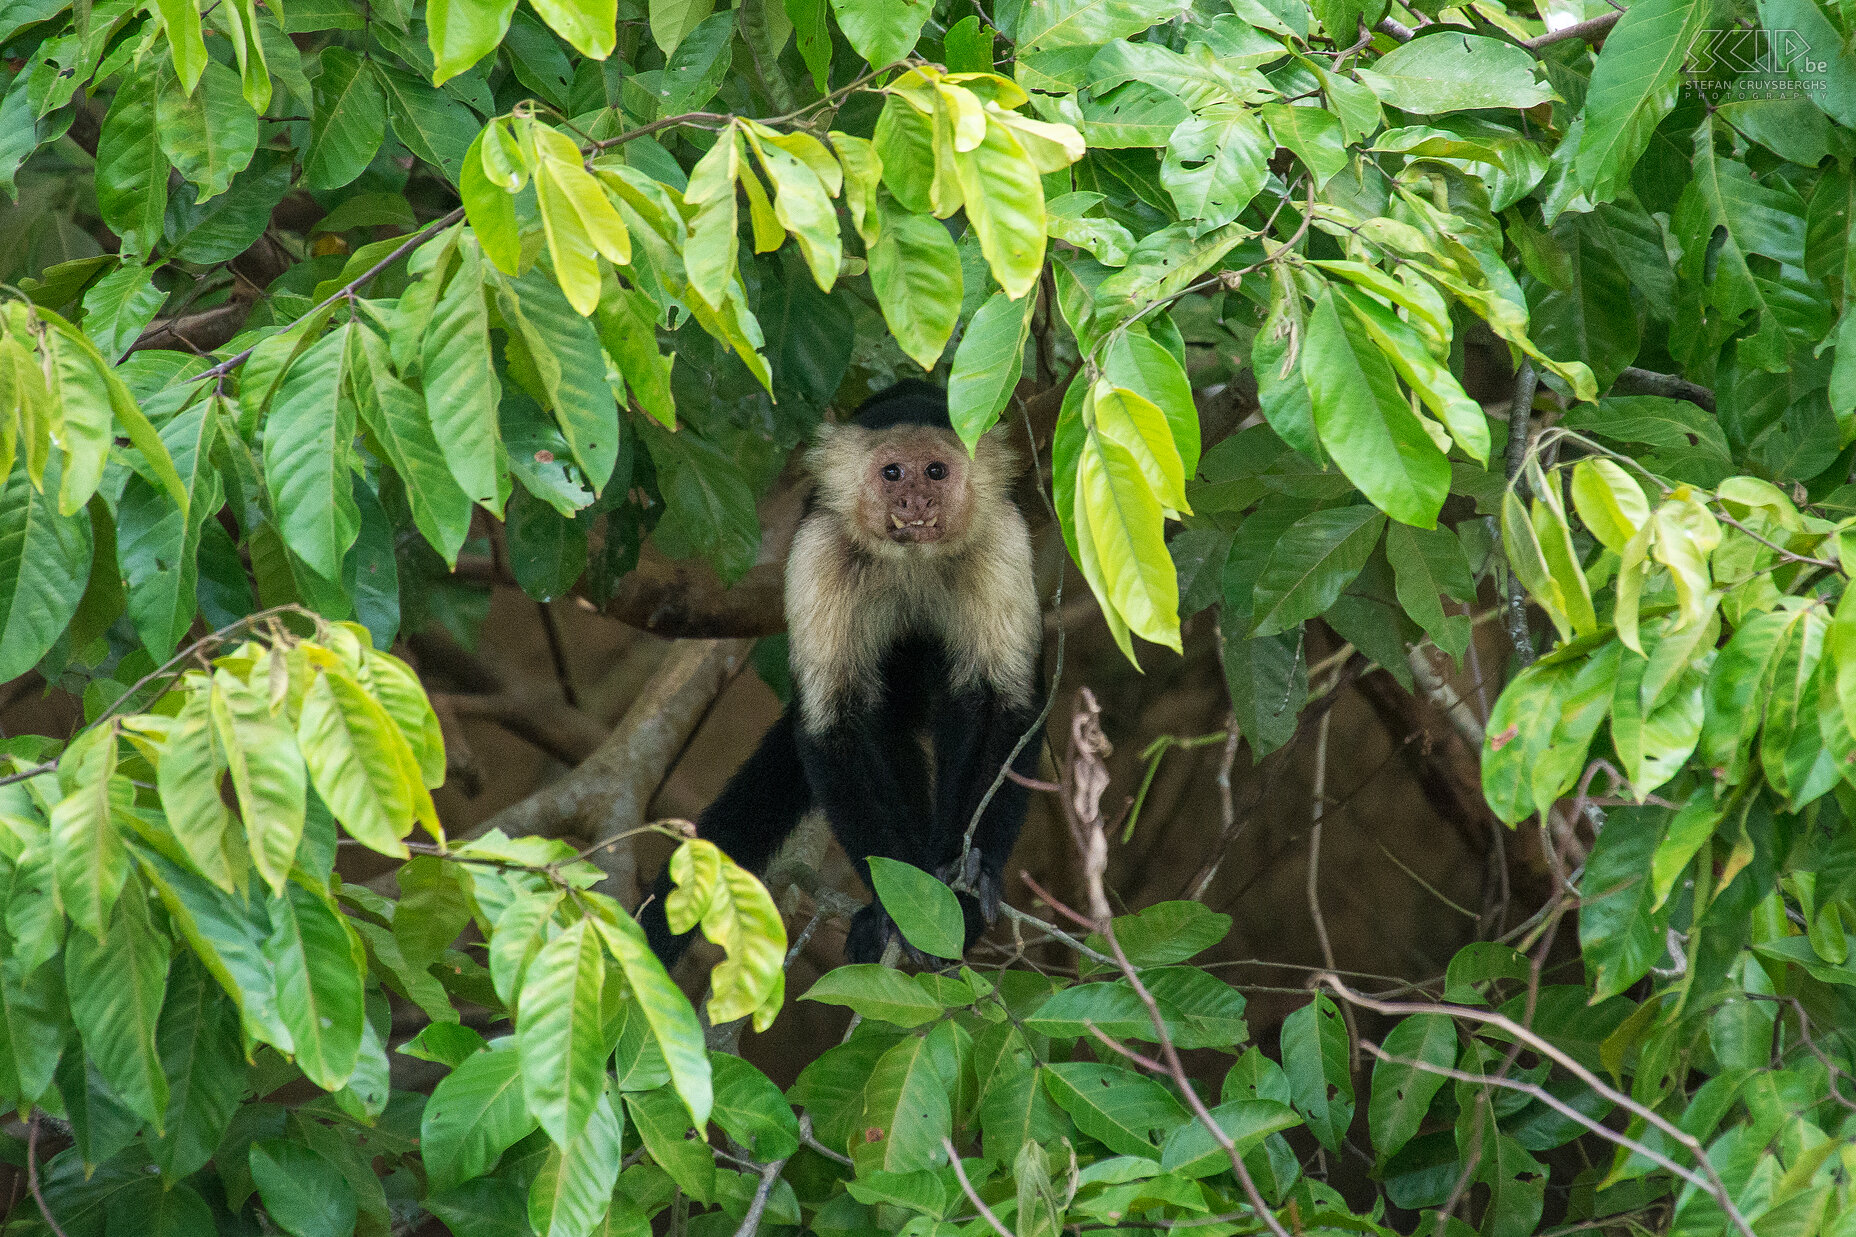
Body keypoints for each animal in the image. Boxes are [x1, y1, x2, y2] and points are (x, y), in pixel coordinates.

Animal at [642, 378, 1046, 965]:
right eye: (893, 473)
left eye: (936, 471)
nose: (915, 502)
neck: (911, 561)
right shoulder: (820, 550)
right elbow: (838, 724)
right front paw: (898, 911)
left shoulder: (1001, 539)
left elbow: (1004, 707)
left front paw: (973, 872)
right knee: (883, 714)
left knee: (960, 697)